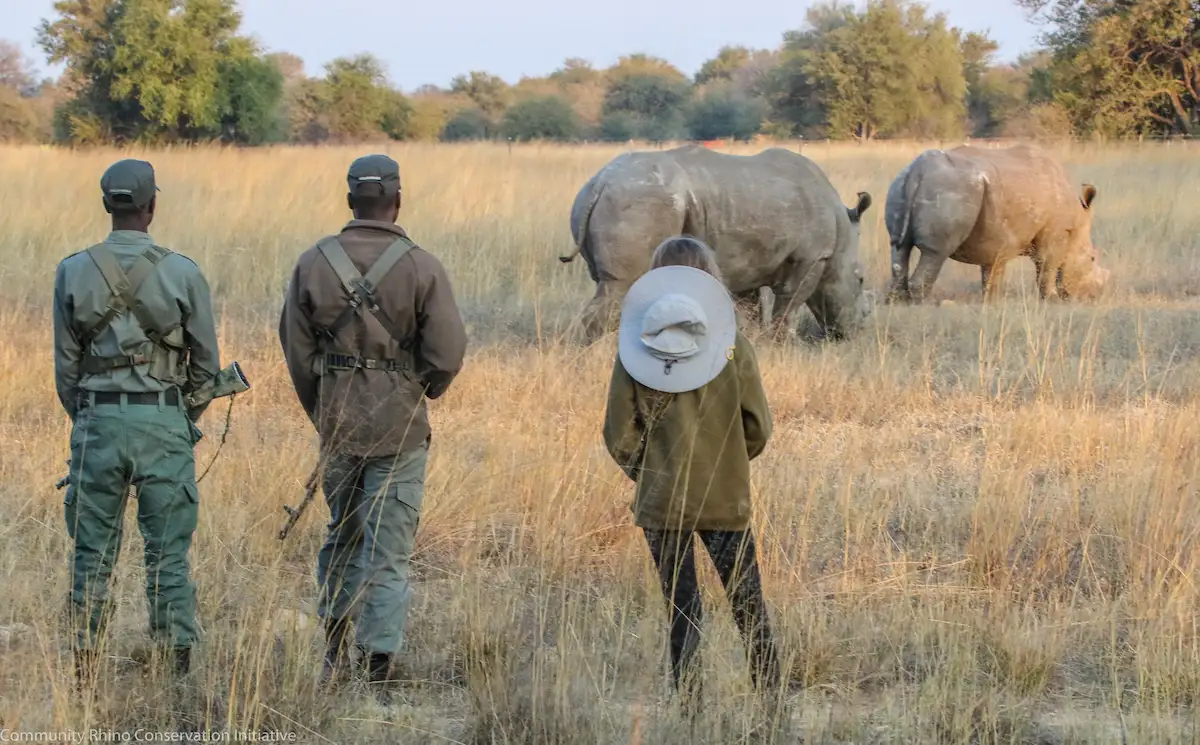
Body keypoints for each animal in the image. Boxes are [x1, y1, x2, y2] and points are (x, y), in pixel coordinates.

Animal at [556, 143, 878, 340]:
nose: (857, 331)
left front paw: (755, 342)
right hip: (640, 200)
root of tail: (601, 183)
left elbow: (750, 309)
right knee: (622, 284)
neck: (842, 225)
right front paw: (782, 343)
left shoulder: (747, 260)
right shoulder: (813, 257)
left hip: (607, 199)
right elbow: (789, 303)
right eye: (860, 279)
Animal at [888, 142, 1108, 302]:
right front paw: (1052, 300)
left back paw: (897, 301)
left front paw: (992, 302)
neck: (1078, 219)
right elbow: (1047, 265)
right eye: (1092, 259)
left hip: (902, 182)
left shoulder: (997, 240)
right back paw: (922, 305)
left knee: (899, 249)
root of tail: (919, 168)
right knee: (935, 253)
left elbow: (992, 273)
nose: (1095, 295)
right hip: (950, 189)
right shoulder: (1054, 231)